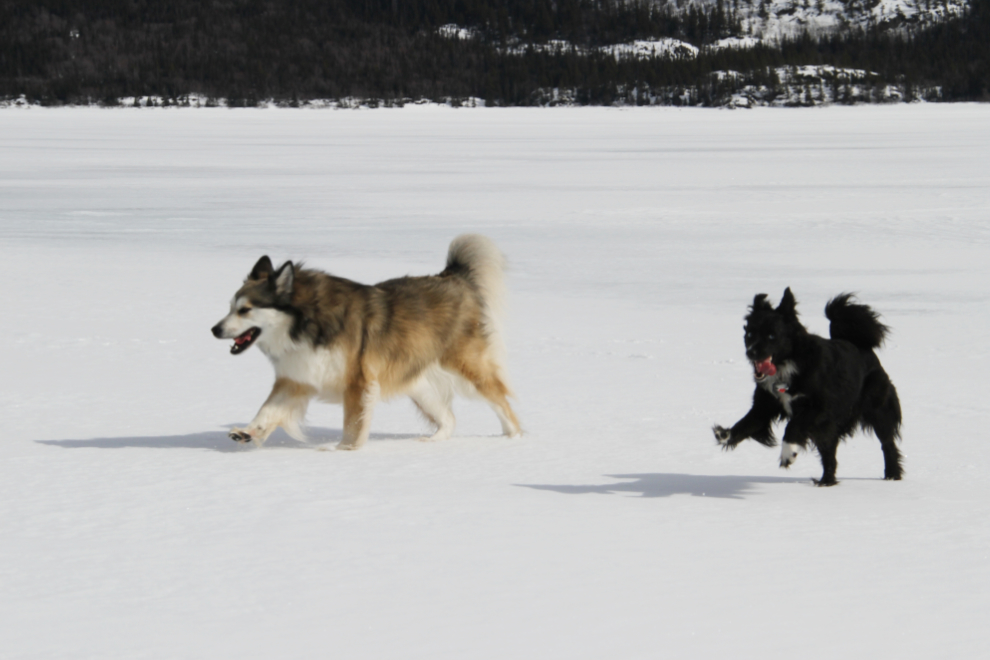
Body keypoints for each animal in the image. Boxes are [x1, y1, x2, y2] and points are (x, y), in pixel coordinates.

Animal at [213, 236, 524, 448]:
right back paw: (431, 442)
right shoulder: (297, 377)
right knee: (449, 419)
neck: (306, 323)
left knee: (501, 403)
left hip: (467, 368)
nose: (214, 329)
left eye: (245, 310)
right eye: (230, 307)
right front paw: (248, 432)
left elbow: (353, 424)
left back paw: (515, 440)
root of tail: (452, 276)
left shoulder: (358, 380)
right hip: (419, 384)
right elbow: (267, 409)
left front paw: (343, 451)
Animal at [712, 288, 908, 484]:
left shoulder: (821, 407)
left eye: (771, 335)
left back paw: (892, 474)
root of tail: (863, 347)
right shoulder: (765, 405)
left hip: (877, 408)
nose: (750, 353)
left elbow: (793, 426)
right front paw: (724, 435)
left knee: (887, 443)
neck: (787, 366)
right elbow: (746, 422)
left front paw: (787, 454)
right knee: (829, 452)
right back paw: (826, 481)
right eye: (750, 334)